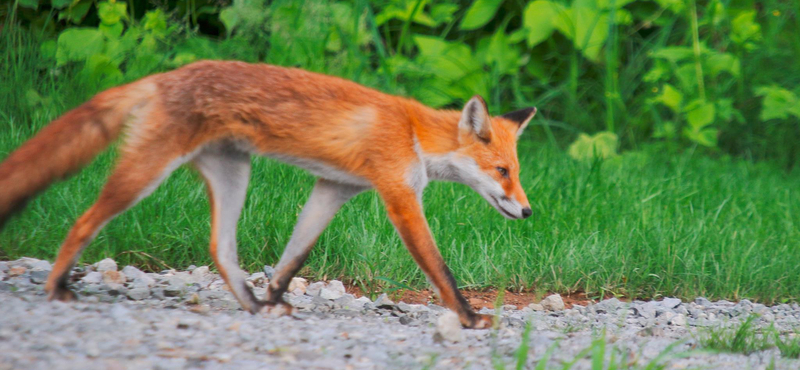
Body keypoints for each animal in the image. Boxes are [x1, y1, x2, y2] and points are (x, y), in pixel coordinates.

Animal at [3, 61, 536, 330]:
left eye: (517, 172)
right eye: (503, 171)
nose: (529, 211)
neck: (413, 133)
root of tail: (164, 75)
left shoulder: (336, 187)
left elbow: (294, 256)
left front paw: (274, 295)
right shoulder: (400, 196)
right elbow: (440, 268)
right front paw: (470, 316)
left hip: (232, 174)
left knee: (221, 248)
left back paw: (253, 305)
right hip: (145, 173)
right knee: (83, 221)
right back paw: (56, 286)